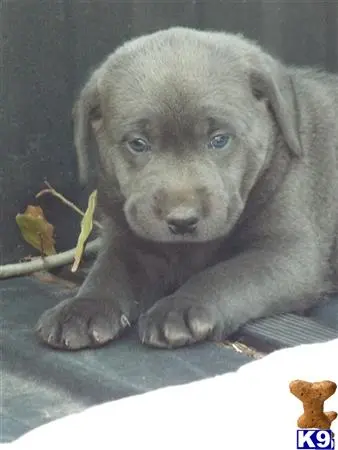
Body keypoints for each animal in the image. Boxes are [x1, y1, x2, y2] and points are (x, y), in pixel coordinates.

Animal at [35, 27, 338, 352]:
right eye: (138, 143)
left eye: (219, 139)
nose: (182, 221)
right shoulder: (129, 240)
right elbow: (108, 272)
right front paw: (83, 308)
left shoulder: (288, 252)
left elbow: (228, 274)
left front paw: (180, 308)